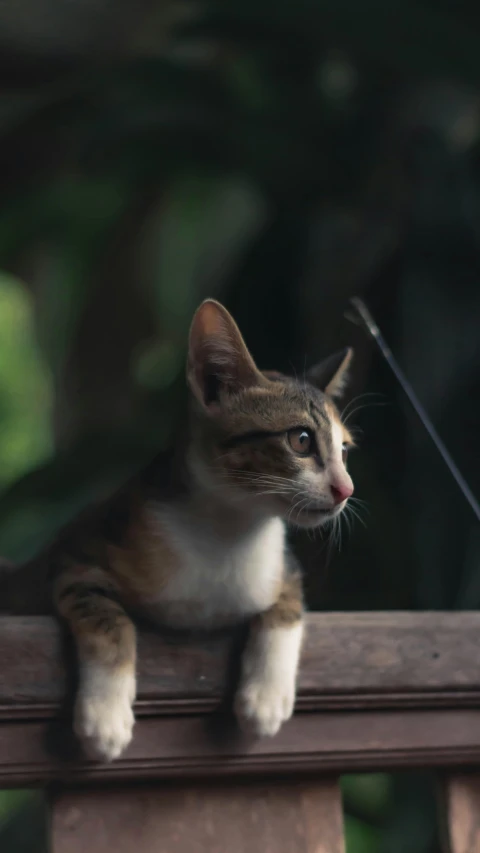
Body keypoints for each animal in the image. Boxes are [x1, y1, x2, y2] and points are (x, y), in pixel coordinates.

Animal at [0, 298, 354, 760]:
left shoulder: (283, 565)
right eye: (301, 440)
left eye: (344, 451)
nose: (346, 489)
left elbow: (289, 603)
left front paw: (266, 697)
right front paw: (105, 715)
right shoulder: (74, 554)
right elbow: (108, 618)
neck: (229, 530)